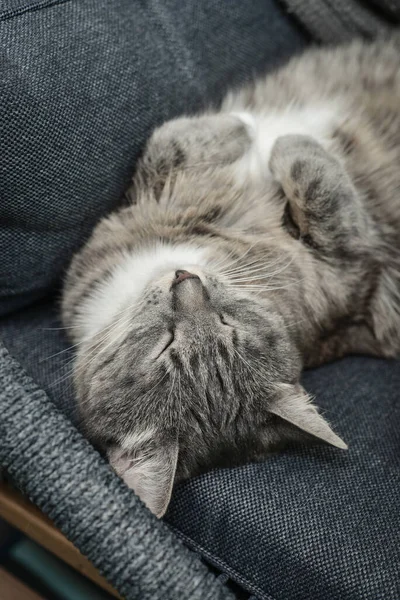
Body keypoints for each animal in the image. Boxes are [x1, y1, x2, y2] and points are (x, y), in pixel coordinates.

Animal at [61, 35, 400, 516]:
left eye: (229, 327)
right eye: (165, 345)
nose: (186, 281)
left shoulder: (348, 267)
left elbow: (176, 144)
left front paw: (255, 130)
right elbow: (173, 147)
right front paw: (253, 130)